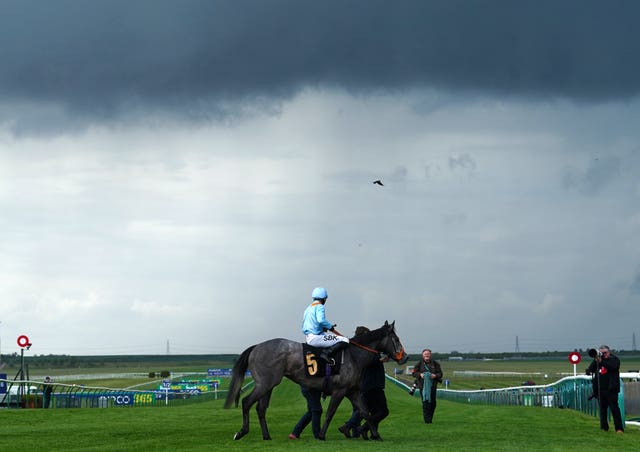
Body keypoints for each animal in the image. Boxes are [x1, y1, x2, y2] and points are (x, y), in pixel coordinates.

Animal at [222, 322, 408, 442]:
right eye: (397, 339)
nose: (405, 357)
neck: (354, 356)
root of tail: (256, 347)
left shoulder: (353, 392)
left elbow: (365, 413)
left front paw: (376, 435)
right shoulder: (340, 391)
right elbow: (330, 413)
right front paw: (322, 435)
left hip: (268, 386)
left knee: (260, 408)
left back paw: (266, 436)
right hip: (264, 384)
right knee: (246, 402)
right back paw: (241, 432)